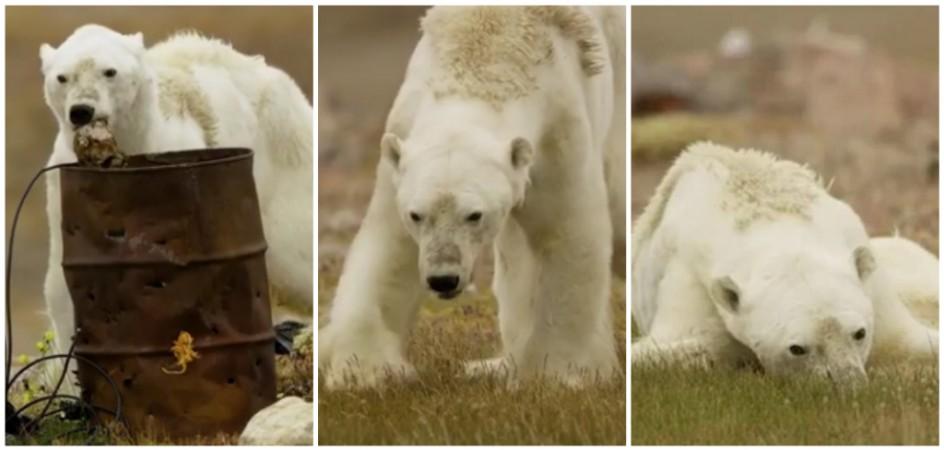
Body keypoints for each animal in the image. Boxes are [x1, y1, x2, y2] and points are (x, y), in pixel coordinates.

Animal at [39, 25, 313, 386]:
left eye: (109, 71)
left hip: (282, 162)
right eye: (62, 77)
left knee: (295, 255)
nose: (81, 111)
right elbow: (63, 286)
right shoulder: (63, 188)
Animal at [319, 6, 626, 390]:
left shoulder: (559, 127)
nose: (443, 279)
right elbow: (390, 243)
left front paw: (556, 374)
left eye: (474, 214)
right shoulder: (403, 139)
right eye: (417, 215)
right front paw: (364, 370)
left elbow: (565, 233)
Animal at [631, 141, 938, 382]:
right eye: (797, 348)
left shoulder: (872, 287)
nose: (848, 384)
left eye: (859, 333)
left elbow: (908, 340)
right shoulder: (690, 281)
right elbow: (685, 343)